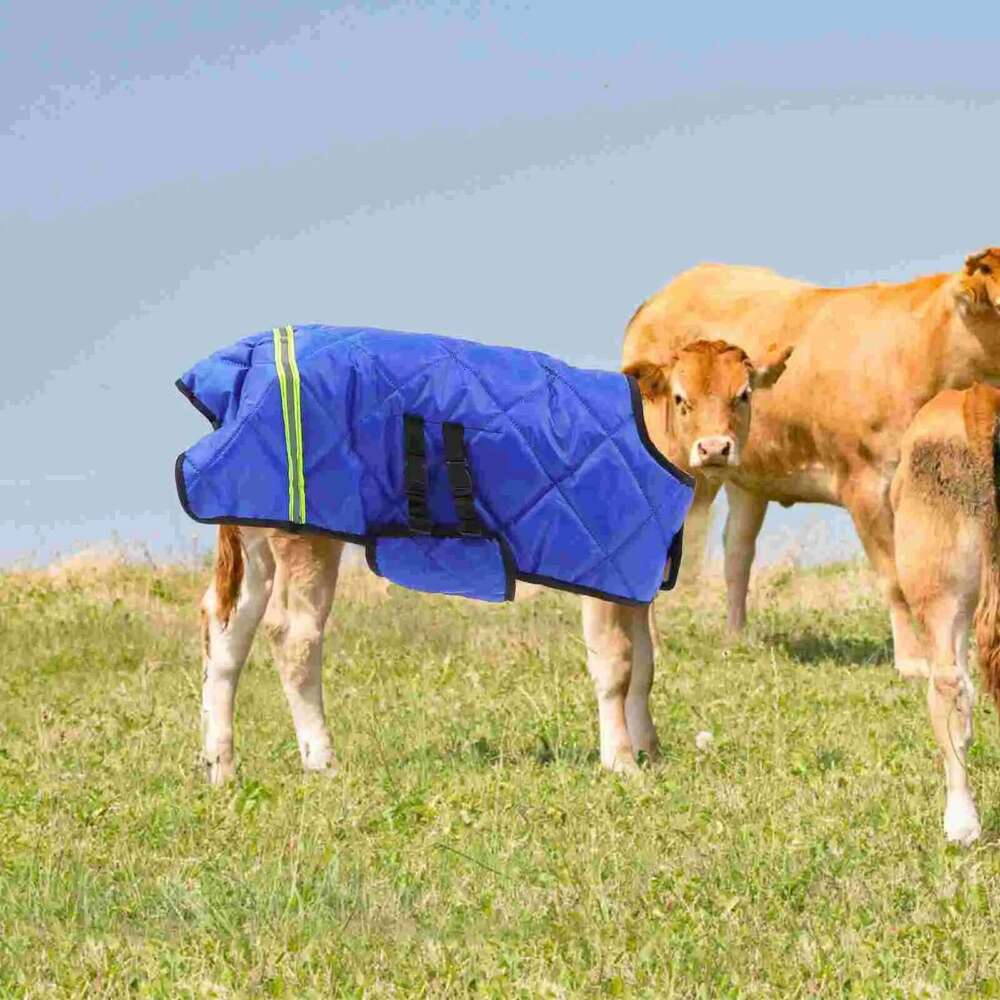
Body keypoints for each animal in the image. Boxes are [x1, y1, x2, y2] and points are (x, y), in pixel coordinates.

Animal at [198, 339, 791, 783]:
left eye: (742, 396)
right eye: (682, 398)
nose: (714, 449)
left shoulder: (637, 576)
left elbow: (645, 665)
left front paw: (651, 750)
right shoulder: (606, 566)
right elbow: (617, 666)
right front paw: (620, 760)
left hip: (254, 530)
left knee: (227, 629)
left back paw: (220, 764)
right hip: (306, 535)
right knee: (292, 635)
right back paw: (321, 759)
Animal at [620, 248, 1000, 678]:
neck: (921, 353)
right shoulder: (865, 484)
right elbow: (894, 578)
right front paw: (912, 661)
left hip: (746, 478)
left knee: (737, 552)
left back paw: (736, 638)